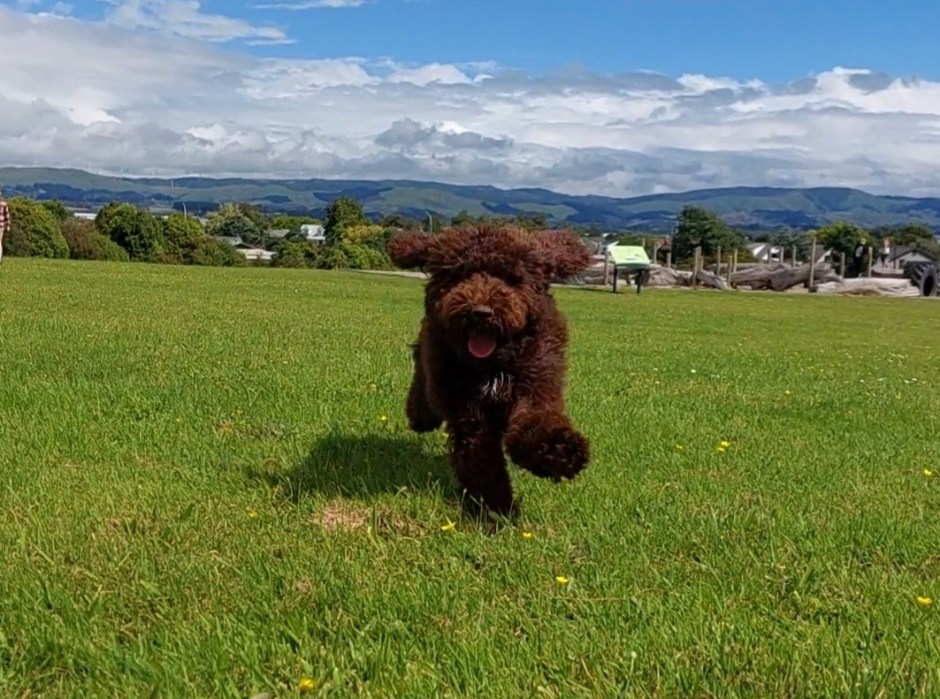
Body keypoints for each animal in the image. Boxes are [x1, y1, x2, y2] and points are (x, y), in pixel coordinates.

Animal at [387, 223, 593, 516]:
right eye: (460, 274)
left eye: (510, 278)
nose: (481, 313)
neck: (493, 365)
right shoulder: (467, 408)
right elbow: (481, 458)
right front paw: (496, 507)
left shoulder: (536, 383)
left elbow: (535, 420)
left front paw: (559, 452)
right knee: (421, 375)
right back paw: (421, 415)